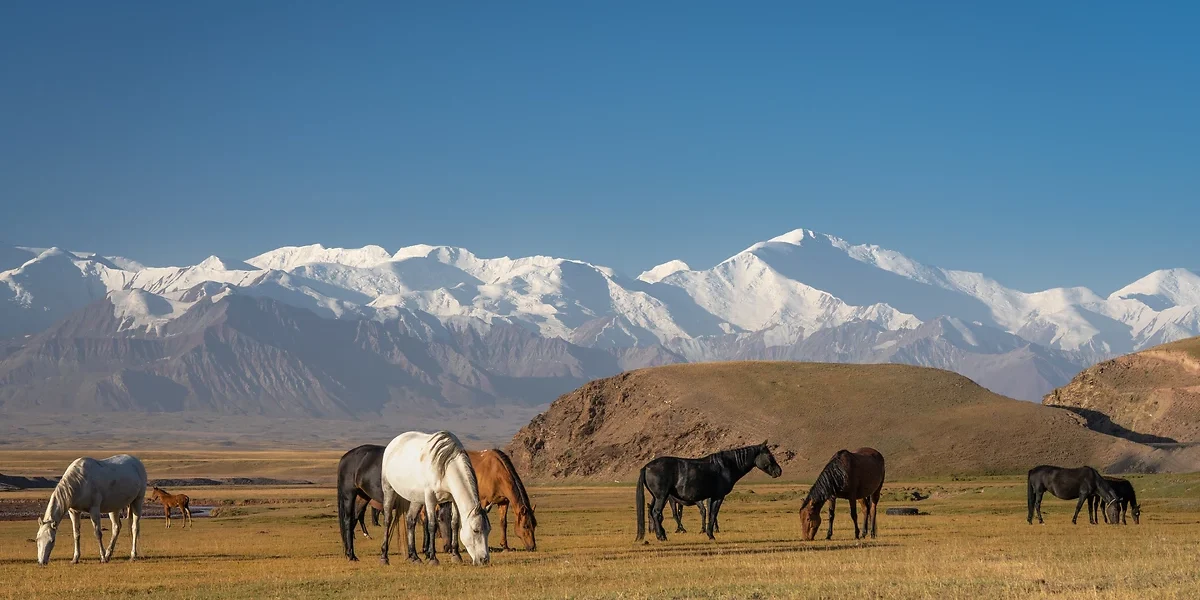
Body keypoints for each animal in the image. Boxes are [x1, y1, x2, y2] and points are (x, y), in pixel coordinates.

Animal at [379, 431, 491, 565]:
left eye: (488, 531)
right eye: (475, 530)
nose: (484, 559)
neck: (445, 467)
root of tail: (394, 442)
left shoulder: (453, 499)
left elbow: (454, 523)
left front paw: (456, 555)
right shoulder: (430, 498)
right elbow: (432, 525)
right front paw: (433, 558)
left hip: (416, 499)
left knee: (410, 520)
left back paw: (414, 557)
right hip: (389, 489)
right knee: (387, 520)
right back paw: (384, 557)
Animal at [635, 441, 782, 542]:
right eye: (769, 455)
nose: (779, 471)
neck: (726, 465)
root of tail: (646, 467)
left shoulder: (710, 497)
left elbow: (710, 514)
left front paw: (708, 532)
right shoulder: (718, 496)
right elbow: (713, 514)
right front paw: (711, 535)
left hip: (659, 497)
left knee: (653, 513)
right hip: (662, 496)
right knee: (656, 513)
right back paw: (661, 536)